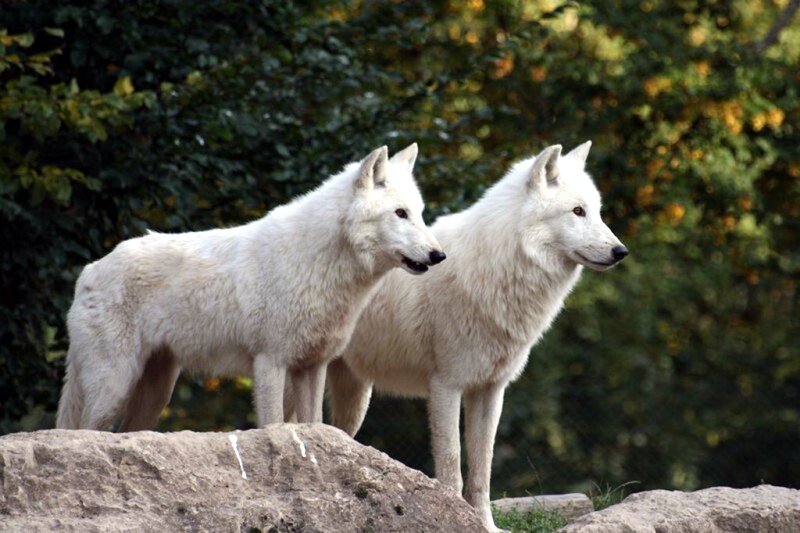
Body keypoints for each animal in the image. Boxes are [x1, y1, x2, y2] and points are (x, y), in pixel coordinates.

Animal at [56, 144, 445, 432]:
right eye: (400, 213)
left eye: (420, 213)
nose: (439, 255)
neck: (318, 264)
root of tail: (88, 271)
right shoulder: (270, 362)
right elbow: (273, 424)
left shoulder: (312, 367)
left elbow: (313, 424)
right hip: (114, 387)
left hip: (156, 393)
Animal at [326, 142, 628, 532]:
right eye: (578, 211)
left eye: (598, 212)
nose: (621, 252)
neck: (496, 269)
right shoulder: (446, 386)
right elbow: (453, 466)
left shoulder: (491, 390)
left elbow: (482, 469)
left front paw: (486, 525)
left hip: (354, 399)